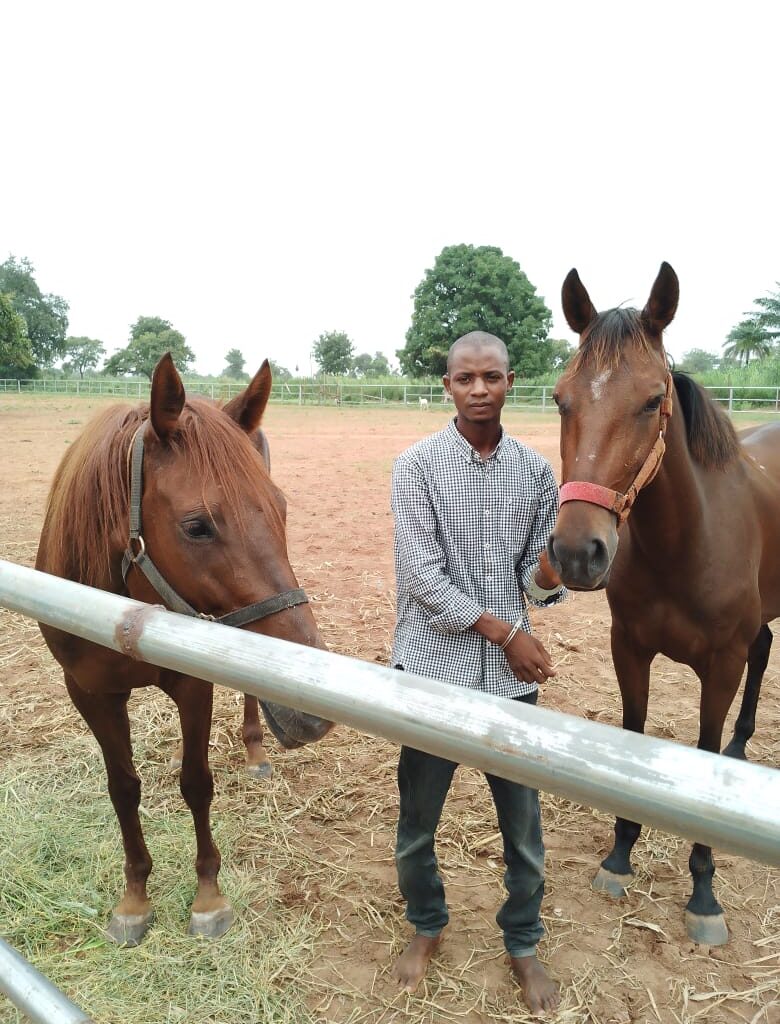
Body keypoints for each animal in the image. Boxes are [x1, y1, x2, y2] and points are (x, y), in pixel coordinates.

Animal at [35, 356, 331, 946]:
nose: (310, 714)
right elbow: (123, 788)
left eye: (281, 508)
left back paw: (255, 750)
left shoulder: (195, 683)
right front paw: (134, 899)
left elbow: (197, 784)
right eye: (197, 526)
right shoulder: (88, 693)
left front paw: (208, 896)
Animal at [548, 262, 777, 942]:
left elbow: (701, 755)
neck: (686, 543)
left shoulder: (721, 667)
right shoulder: (629, 649)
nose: (578, 552)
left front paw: (704, 892)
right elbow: (633, 734)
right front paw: (620, 854)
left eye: (653, 400)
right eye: (561, 399)